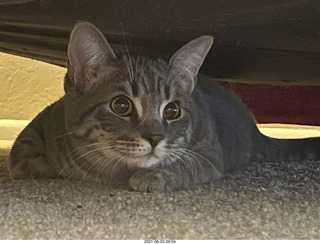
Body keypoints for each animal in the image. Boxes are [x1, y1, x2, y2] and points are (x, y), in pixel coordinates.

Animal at [7, 21, 320, 192]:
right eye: (121, 105)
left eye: (172, 111)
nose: (155, 137)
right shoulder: (48, 117)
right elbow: (21, 148)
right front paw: (36, 163)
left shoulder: (209, 154)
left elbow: (185, 165)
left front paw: (157, 175)